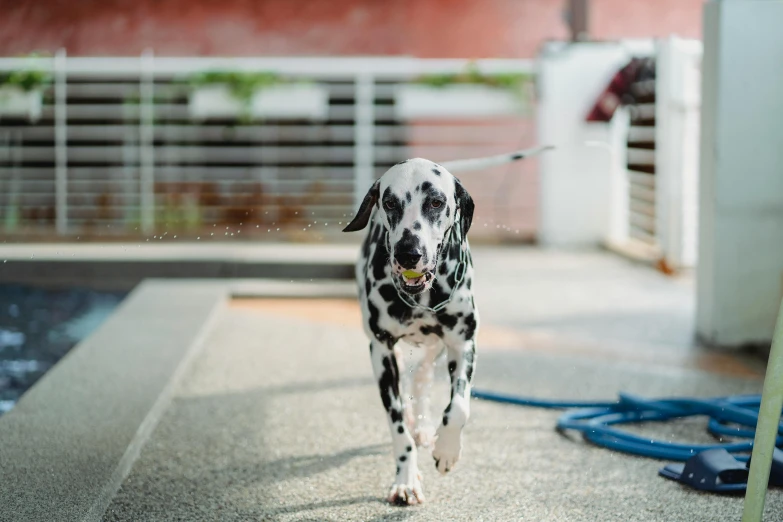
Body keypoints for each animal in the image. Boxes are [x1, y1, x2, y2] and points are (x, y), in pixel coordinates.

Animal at [344, 144, 552, 502]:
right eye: (389, 202)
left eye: (436, 202)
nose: (408, 252)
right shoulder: (381, 352)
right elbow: (398, 427)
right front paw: (406, 479)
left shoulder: (462, 345)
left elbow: (459, 409)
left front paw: (447, 450)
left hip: (435, 349)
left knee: (424, 379)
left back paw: (426, 425)